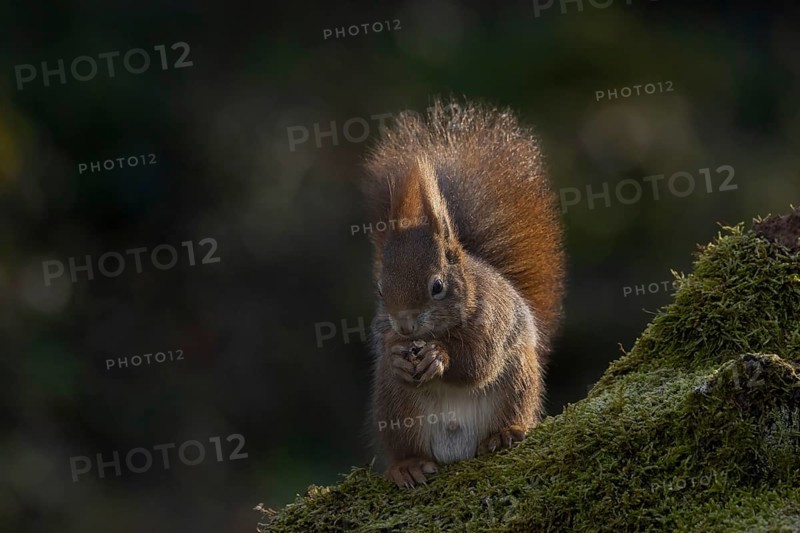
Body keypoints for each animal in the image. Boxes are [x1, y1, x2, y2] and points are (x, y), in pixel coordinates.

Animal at [360, 98, 565, 489]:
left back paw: (505, 433)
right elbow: (387, 348)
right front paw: (396, 353)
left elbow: (477, 361)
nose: (405, 326)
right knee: (405, 445)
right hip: (394, 407)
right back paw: (407, 465)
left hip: (517, 381)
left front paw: (439, 356)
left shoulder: (492, 320)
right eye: (379, 290)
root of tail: (456, 450)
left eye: (437, 286)